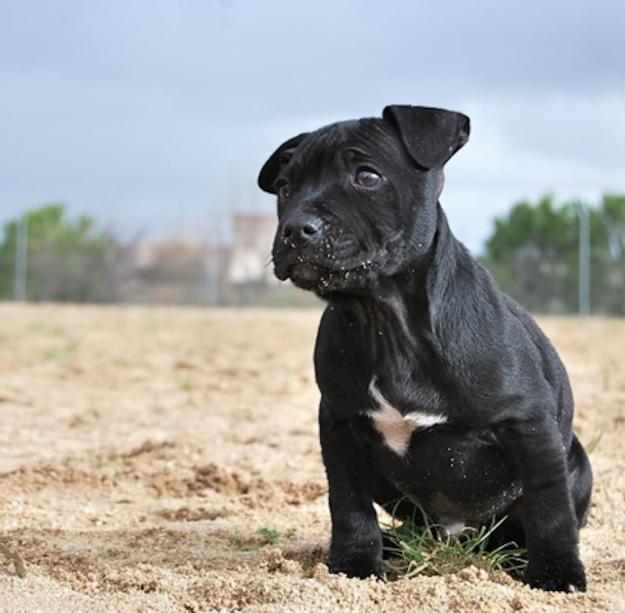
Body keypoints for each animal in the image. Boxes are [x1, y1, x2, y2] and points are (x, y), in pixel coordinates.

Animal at [256, 105, 592, 592]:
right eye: (285, 187)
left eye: (367, 176)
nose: (295, 229)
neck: (385, 319)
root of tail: (456, 536)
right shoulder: (340, 425)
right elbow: (348, 504)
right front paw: (355, 564)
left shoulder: (529, 424)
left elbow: (550, 507)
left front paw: (556, 574)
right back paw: (393, 546)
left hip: (576, 462)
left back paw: (514, 555)